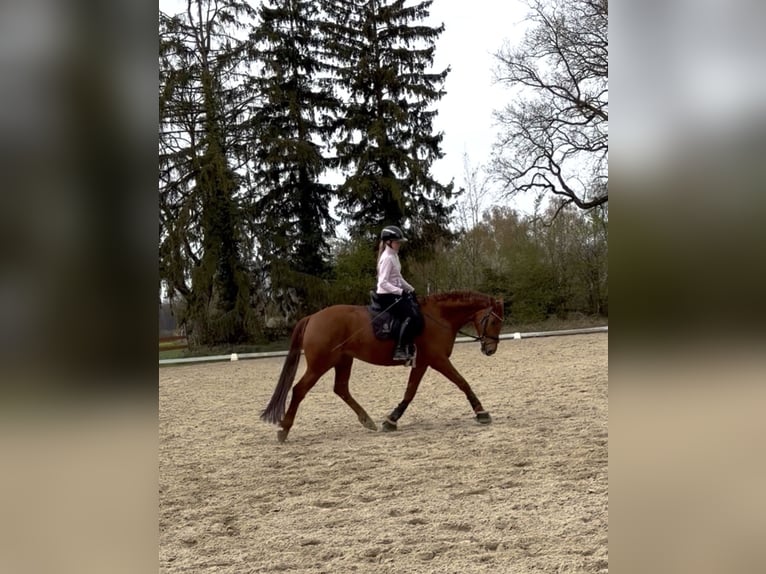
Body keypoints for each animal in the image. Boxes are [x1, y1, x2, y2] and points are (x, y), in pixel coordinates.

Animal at [260, 290, 505, 442]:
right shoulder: (437, 360)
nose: (490, 350)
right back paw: (284, 429)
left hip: (343, 360)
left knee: (341, 388)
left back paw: (367, 421)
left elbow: (410, 392)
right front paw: (482, 412)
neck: (438, 317)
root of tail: (312, 317)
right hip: (321, 363)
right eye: (493, 321)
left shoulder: (422, 362)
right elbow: (462, 382)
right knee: (300, 389)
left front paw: (391, 420)